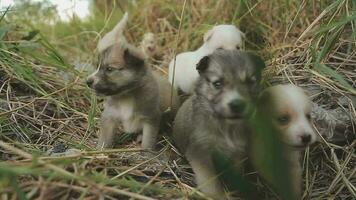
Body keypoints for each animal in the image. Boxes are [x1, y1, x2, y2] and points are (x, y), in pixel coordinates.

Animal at [87, 13, 179, 149]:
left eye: (109, 69)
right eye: (97, 67)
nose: (87, 82)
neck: (126, 95)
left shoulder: (151, 118)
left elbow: (147, 141)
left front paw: (146, 151)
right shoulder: (109, 116)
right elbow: (104, 138)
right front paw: (100, 151)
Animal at [172, 49, 264, 198]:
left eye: (250, 82)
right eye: (217, 84)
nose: (237, 104)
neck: (226, 127)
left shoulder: (237, 152)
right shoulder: (200, 152)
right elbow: (211, 182)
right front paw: (217, 196)